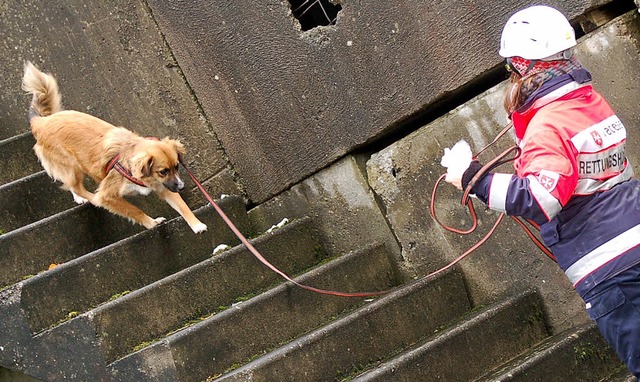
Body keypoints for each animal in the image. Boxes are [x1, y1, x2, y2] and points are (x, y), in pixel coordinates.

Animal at [21, 60, 208, 233]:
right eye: (163, 171)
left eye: (177, 167)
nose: (182, 187)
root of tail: (41, 122)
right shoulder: (109, 195)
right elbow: (134, 210)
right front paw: (151, 222)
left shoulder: (164, 186)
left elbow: (182, 206)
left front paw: (197, 225)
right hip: (71, 165)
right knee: (77, 187)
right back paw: (90, 198)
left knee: (70, 184)